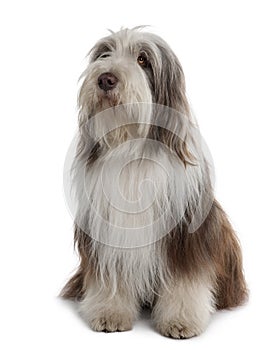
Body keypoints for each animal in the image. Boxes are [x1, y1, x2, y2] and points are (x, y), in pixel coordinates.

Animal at [61, 27, 247, 340]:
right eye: (104, 54)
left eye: (143, 59)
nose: (106, 79)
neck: (130, 145)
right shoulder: (108, 232)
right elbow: (110, 277)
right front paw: (109, 313)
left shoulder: (184, 233)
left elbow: (185, 280)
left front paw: (181, 321)